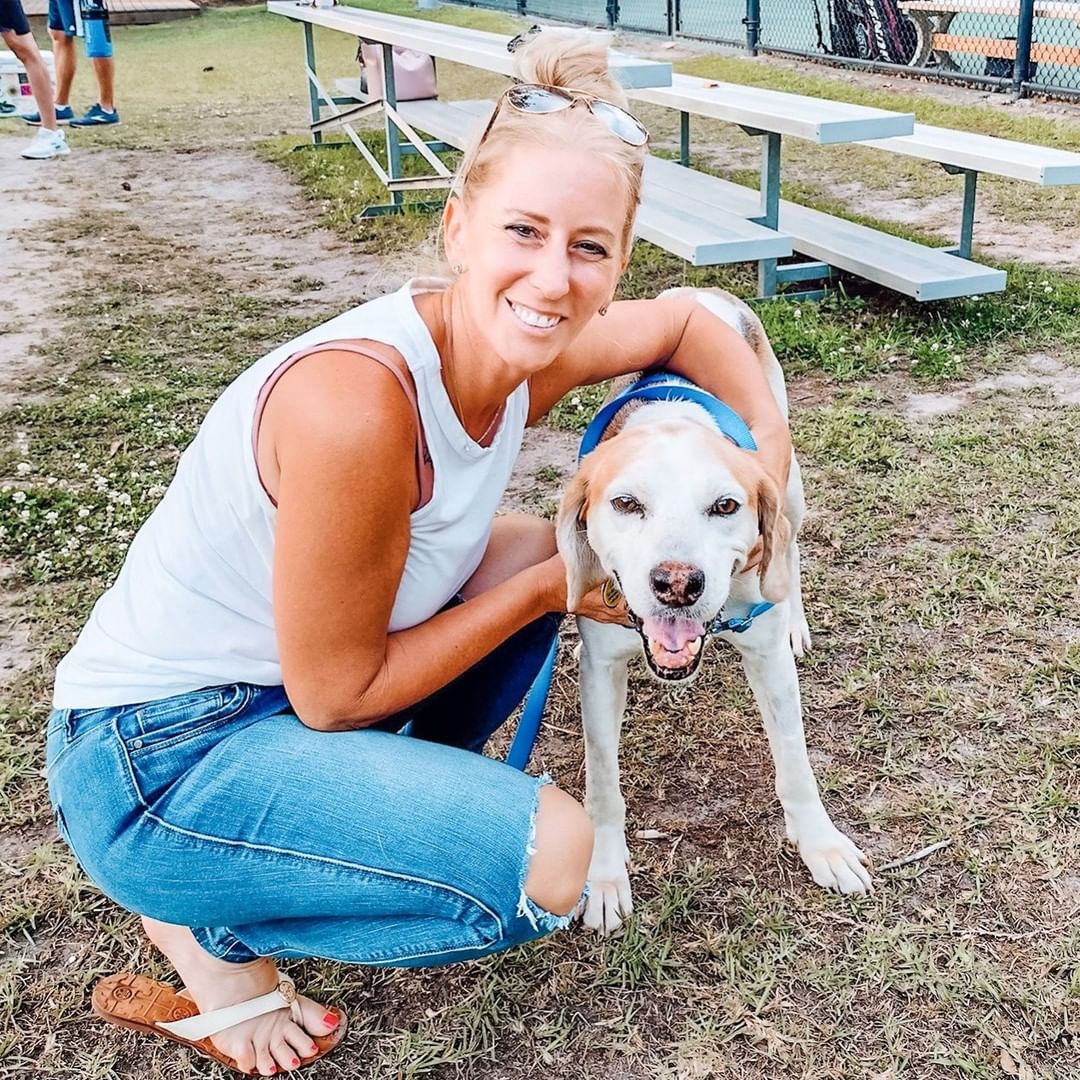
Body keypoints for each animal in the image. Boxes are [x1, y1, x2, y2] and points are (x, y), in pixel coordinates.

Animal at [552, 289, 872, 937]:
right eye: (626, 503)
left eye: (724, 506)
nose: (678, 584)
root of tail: (699, 293)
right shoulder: (600, 667)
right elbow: (601, 784)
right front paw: (604, 875)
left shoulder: (767, 658)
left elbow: (796, 762)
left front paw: (821, 845)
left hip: (791, 487)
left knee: (790, 550)